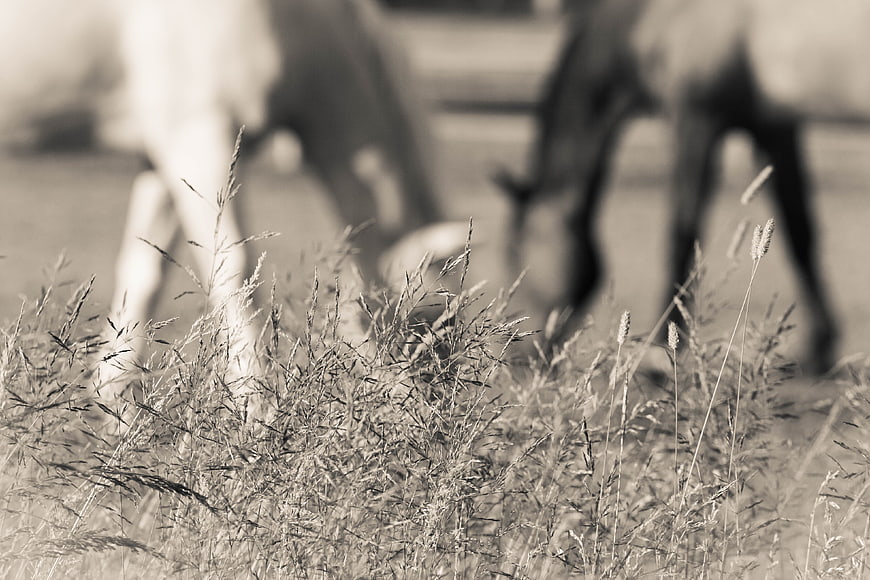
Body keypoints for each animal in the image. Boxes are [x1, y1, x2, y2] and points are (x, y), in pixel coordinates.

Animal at [0, 0, 467, 417]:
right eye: (429, 316)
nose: (438, 416)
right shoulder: (199, 138)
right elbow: (234, 272)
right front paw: (256, 409)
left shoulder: (161, 155)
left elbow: (145, 273)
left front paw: (114, 400)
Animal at [497, 0, 855, 372]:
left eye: (513, 251)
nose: (517, 353)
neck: (654, 17)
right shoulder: (774, 126)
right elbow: (800, 233)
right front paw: (821, 344)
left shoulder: (696, 119)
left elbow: (682, 233)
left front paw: (662, 346)